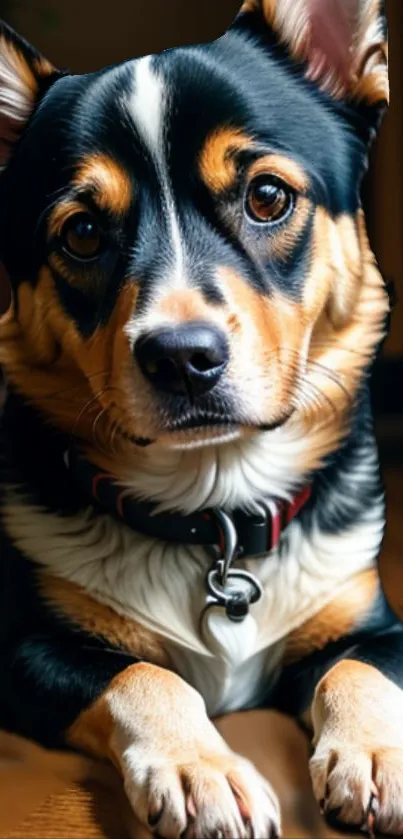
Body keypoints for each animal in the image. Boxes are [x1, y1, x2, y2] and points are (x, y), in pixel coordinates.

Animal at [0, 0, 400, 836]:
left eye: (267, 197)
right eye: (82, 232)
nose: (182, 357)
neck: (213, 510)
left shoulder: (371, 622)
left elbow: (358, 668)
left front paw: (378, 754)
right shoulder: (26, 650)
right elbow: (144, 675)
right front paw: (203, 770)